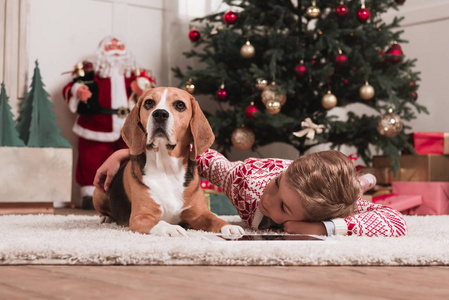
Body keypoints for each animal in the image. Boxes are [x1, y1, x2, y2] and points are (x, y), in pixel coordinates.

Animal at [92, 88, 245, 238]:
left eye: (180, 105)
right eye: (149, 103)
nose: (159, 114)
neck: (167, 168)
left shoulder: (199, 214)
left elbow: (215, 219)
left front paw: (230, 227)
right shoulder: (140, 217)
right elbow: (160, 223)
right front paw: (173, 228)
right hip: (99, 190)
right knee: (102, 211)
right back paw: (105, 218)